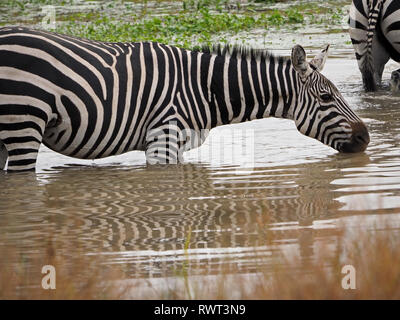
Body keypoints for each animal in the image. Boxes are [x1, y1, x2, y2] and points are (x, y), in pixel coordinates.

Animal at [0, 26, 368, 172]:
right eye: (325, 97)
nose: (366, 138)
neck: (203, 88)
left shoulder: (176, 145)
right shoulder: (162, 139)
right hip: (23, 124)